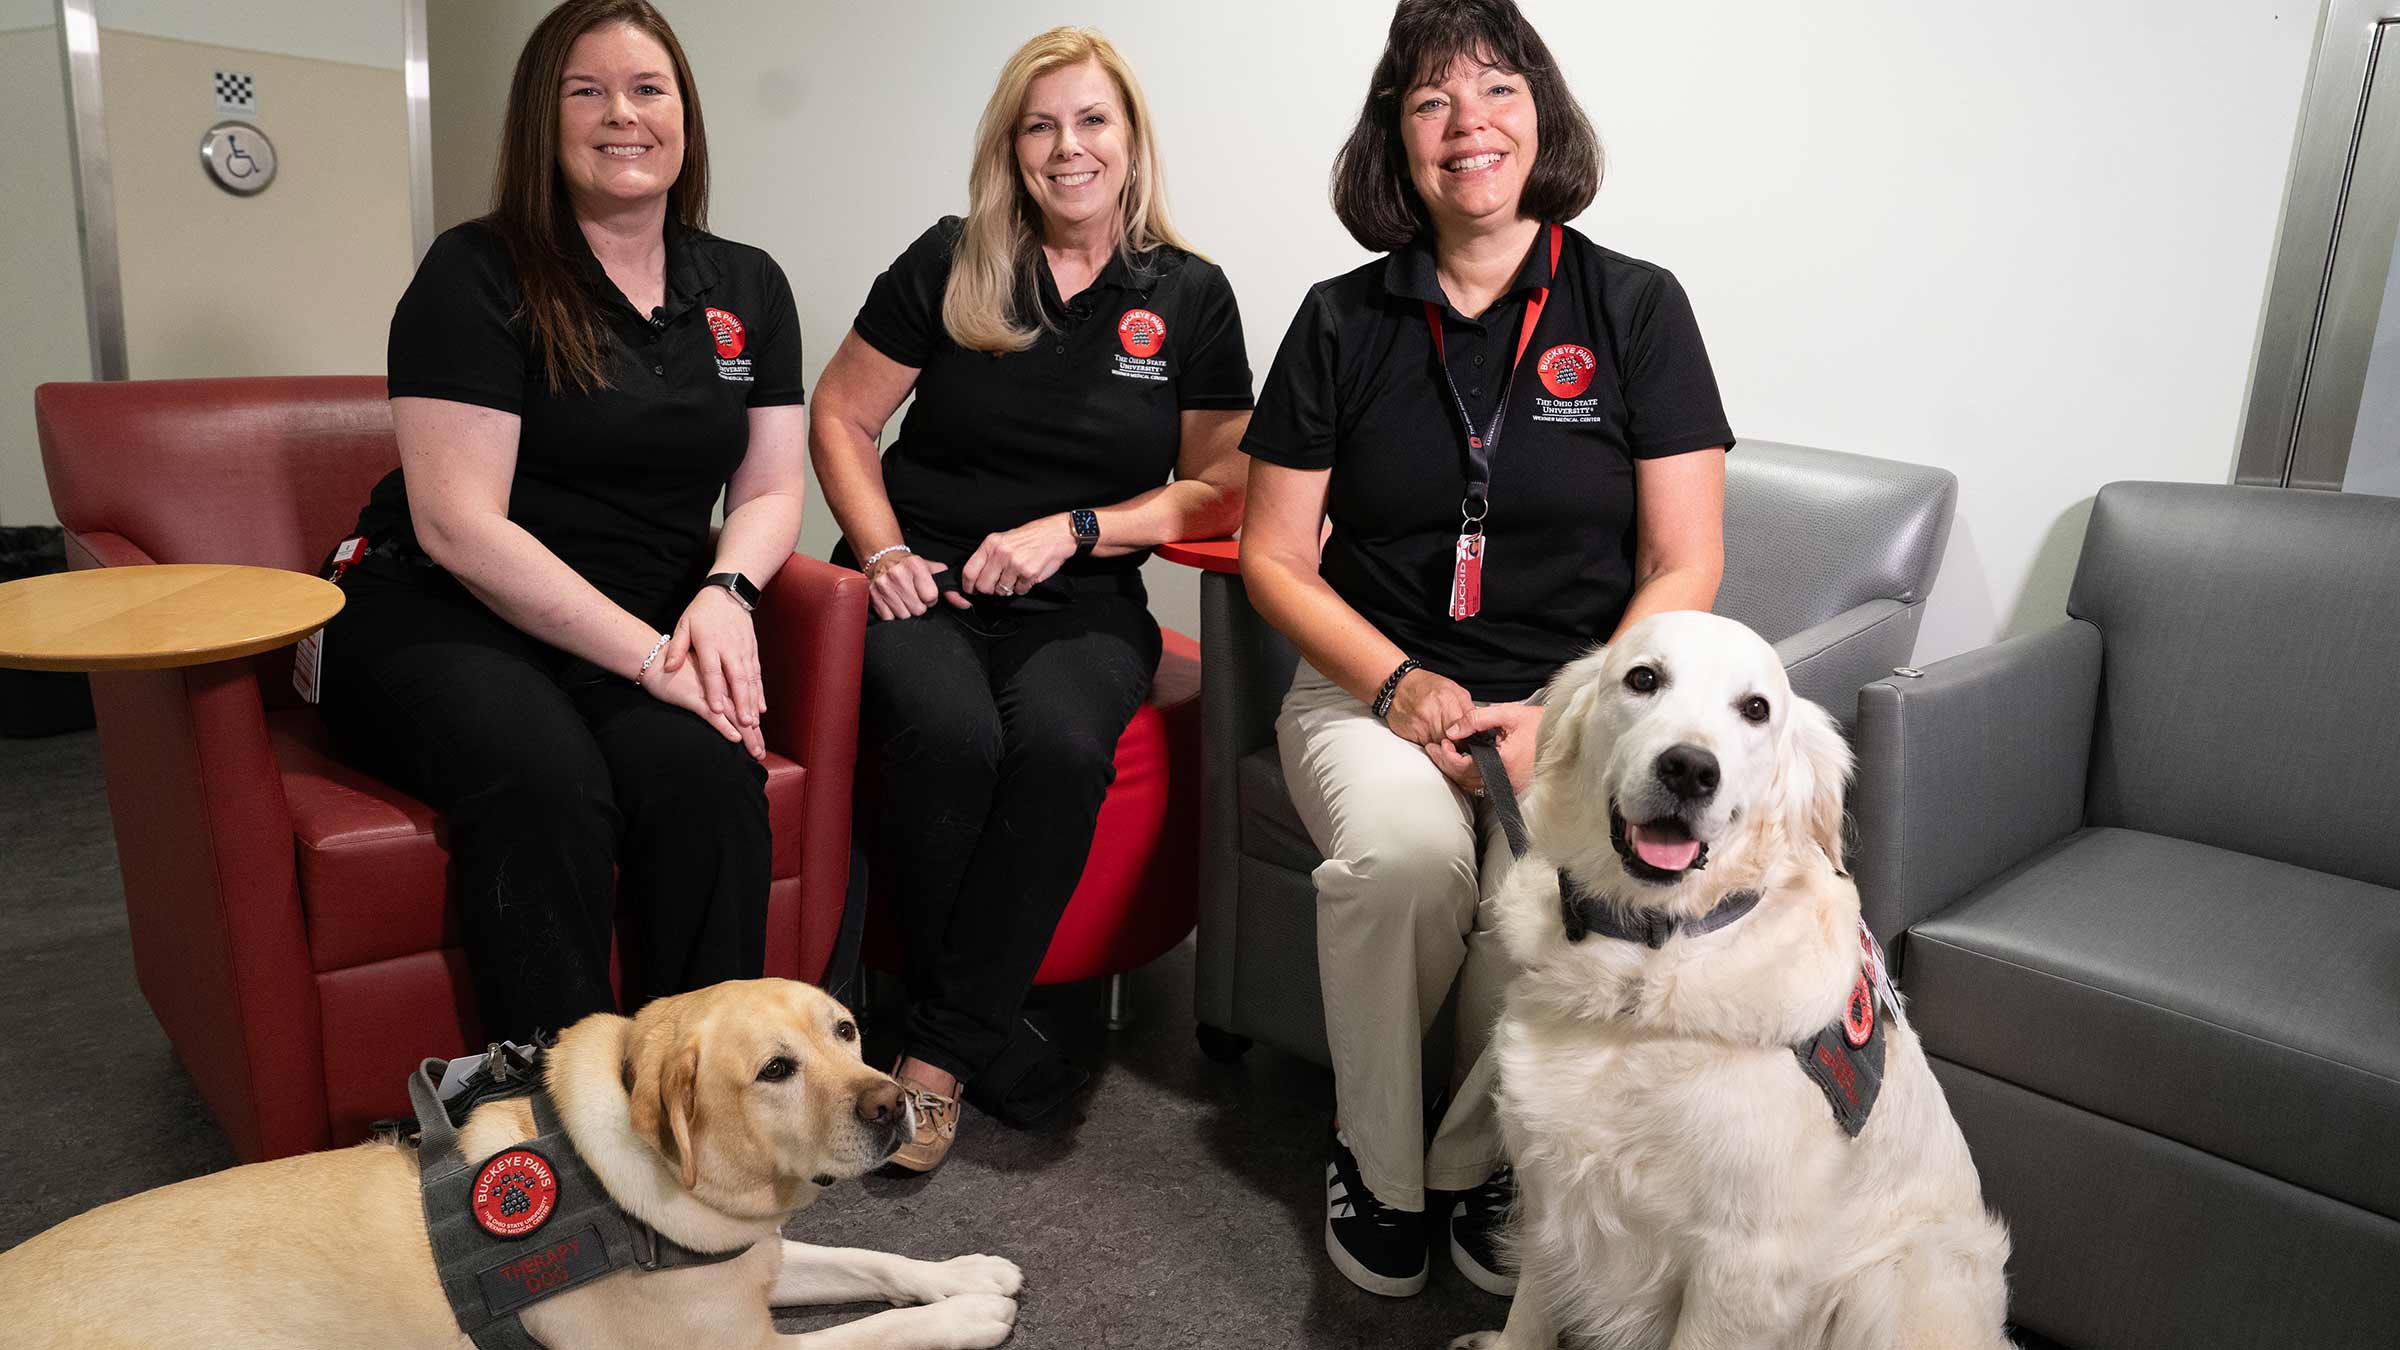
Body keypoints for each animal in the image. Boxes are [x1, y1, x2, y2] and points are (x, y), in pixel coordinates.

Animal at [0, 975, 1022, 1345]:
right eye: (775, 1070)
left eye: (846, 1030)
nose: (894, 1105)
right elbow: (870, 1336)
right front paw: (967, 1318)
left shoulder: (745, 1253)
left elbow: (867, 1259)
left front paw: (969, 1273)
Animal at [1449, 612, 2016, 1345]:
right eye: (1643, 678)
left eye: (1755, 709)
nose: (1690, 769)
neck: (1650, 959)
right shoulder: (1553, 1192)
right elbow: (1530, 1316)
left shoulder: (1745, 1264)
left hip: (1887, 1282)